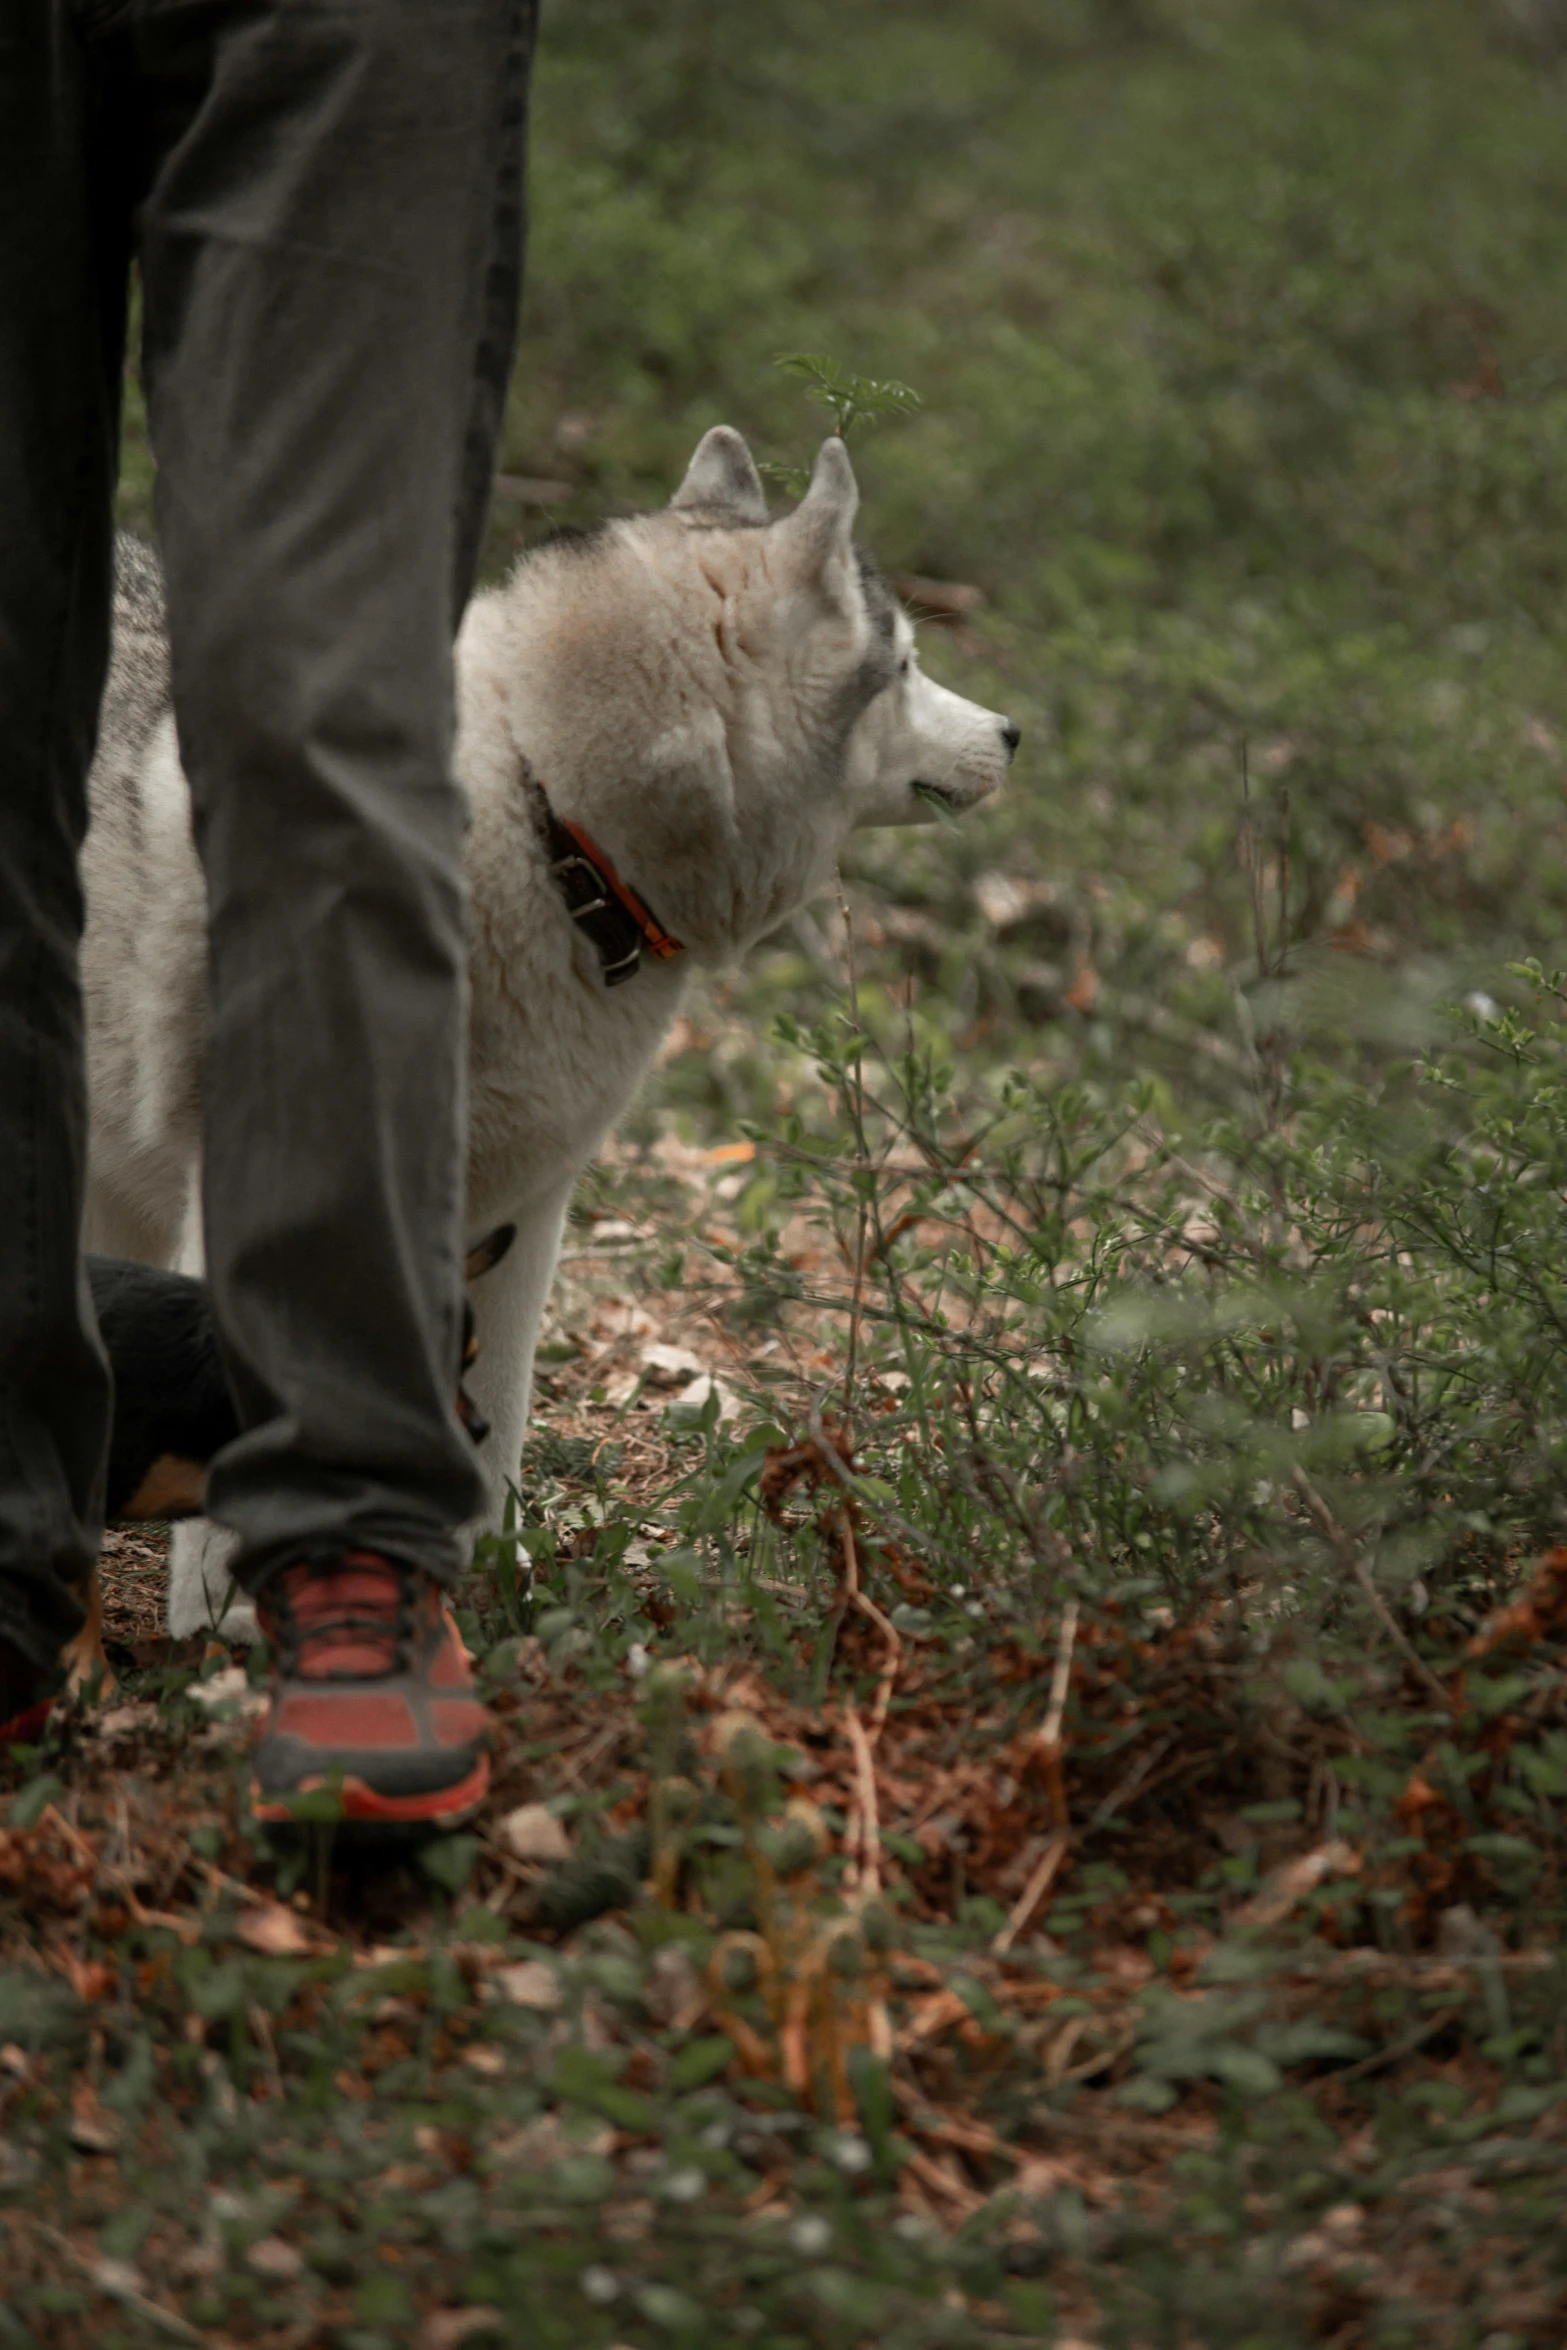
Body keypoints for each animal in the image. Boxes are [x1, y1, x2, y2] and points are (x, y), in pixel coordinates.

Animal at [82, 427, 1019, 1635]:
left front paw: (485, 1601)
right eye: (901, 666)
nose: (1012, 731)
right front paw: (230, 1628)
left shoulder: (520, 1206)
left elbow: (497, 1426)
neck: (547, 826)